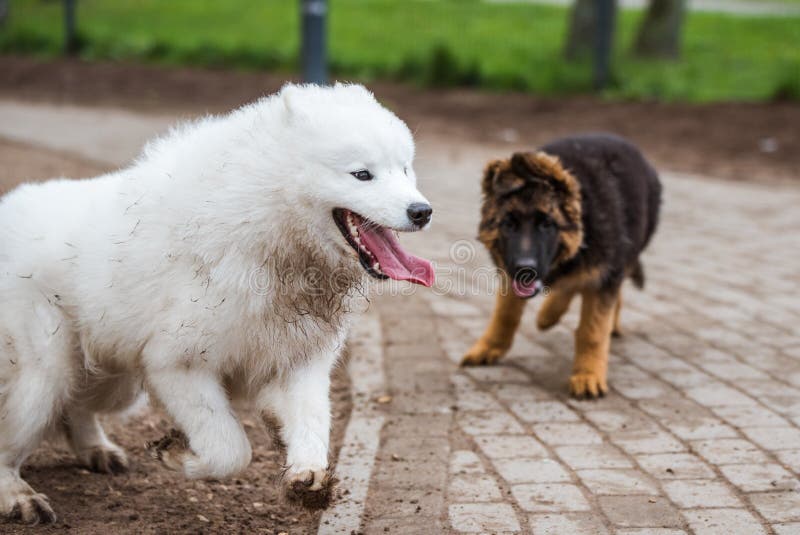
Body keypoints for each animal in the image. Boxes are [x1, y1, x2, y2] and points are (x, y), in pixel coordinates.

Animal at [0, 84, 434, 524]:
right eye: (362, 174)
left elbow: (313, 427)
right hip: (48, 373)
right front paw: (177, 456)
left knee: (77, 410)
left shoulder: (301, 361)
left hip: (112, 381)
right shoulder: (176, 367)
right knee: (15, 440)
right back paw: (19, 498)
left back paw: (97, 451)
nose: (423, 212)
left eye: (405, 170)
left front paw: (304, 474)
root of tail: (8, 207)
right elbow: (230, 450)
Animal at [462, 135, 664, 398]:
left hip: (627, 250)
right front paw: (489, 346)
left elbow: (592, 331)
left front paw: (587, 375)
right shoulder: (509, 273)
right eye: (508, 224)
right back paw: (549, 314)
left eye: (547, 224)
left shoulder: (605, 274)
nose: (525, 268)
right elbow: (505, 314)